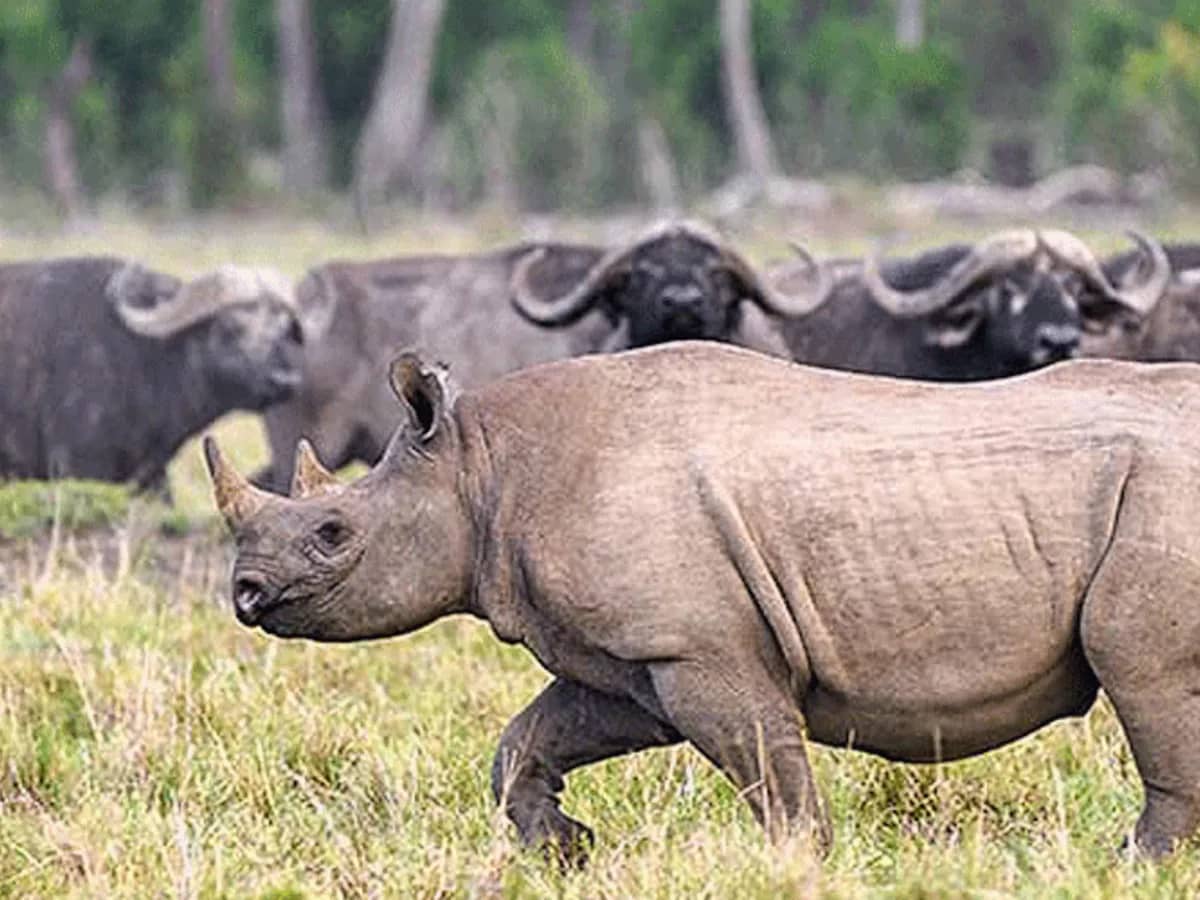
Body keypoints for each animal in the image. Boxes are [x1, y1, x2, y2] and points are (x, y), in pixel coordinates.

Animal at [204, 342, 1200, 864]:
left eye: (332, 533)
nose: (245, 594)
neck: (479, 467)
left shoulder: (697, 650)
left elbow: (770, 770)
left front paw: (801, 866)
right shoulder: (638, 659)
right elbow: (528, 737)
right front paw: (566, 847)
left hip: (1163, 496)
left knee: (1139, 668)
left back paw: (1132, 866)